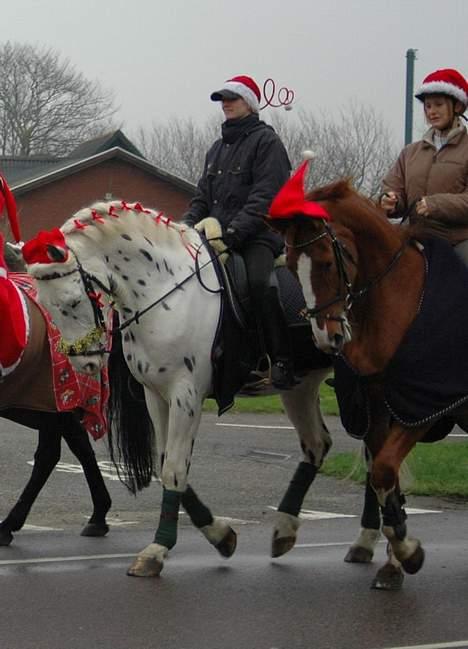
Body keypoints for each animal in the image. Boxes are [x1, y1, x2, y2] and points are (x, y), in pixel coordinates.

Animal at [22, 197, 384, 576]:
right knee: (318, 445)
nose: (84, 362)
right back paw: (286, 530)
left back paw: (366, 539)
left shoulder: (186, 396)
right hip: (301, 386)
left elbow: (174, 469)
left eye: (73, 301)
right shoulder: (156, 395)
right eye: (44, 306)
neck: (166, 289)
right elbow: (165, 462)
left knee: (375, 454)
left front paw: (158, 550)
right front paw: (221, 536)